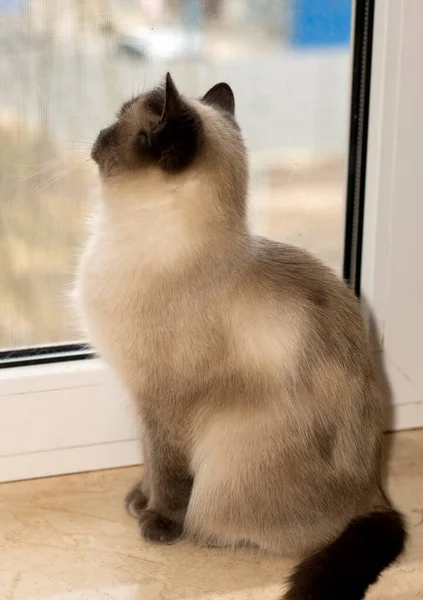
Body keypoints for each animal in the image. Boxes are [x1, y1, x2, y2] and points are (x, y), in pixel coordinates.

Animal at [76, 72, 408, 596]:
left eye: (118, 124)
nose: (97, 136)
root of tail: (375, 495)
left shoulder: (160, 404)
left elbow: (167, 472)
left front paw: (157, 522)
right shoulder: (143, 402)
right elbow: (148, 462)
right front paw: (139, 499)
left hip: (226, 459)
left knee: (233, 523)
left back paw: (197, 530)